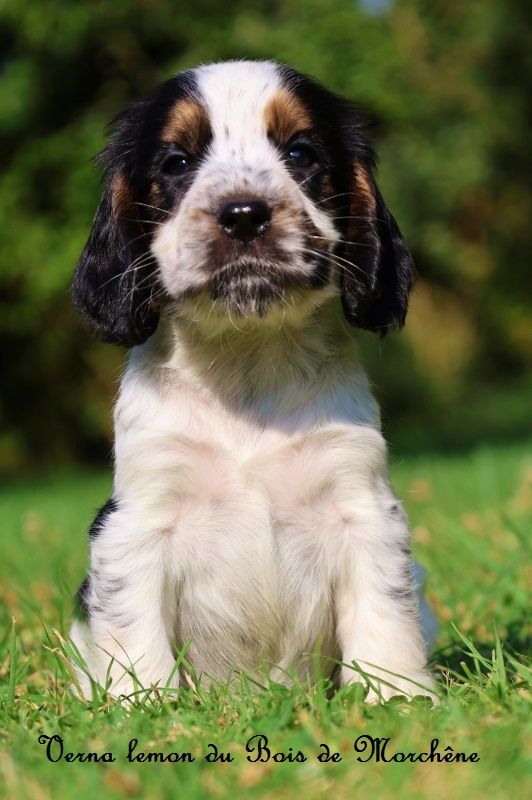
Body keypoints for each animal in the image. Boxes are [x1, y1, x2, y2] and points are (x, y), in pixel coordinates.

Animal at [69, 61, 436, 700]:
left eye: (300, 153)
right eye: (177, 163)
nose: (243, 214)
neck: (247, 360)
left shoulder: (363, 506)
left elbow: (385, 612)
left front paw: (398, 698)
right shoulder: (135, 521)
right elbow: (134, 632)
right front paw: (144, 708)